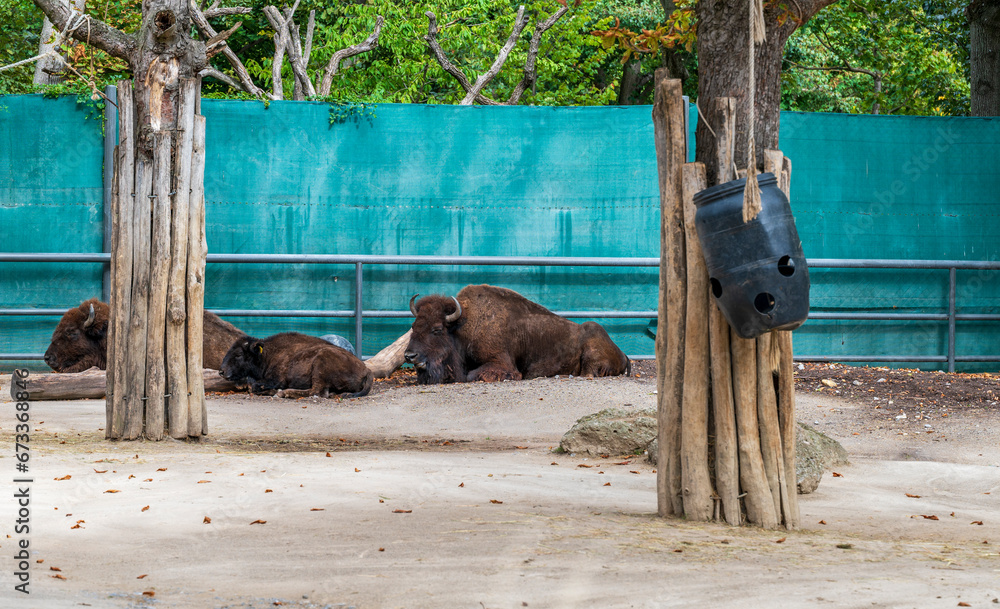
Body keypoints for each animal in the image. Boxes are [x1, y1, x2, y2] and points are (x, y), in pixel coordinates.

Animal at [219, 332, 373, 398]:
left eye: (239, 354)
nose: (221, 371)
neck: (267, 355)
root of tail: (366, 370)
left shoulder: (275, 379)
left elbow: (255, 387)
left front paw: (276, 391)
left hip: (320, 364)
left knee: (317, 392)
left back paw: (284, 393)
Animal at [404, 284, 631, 384]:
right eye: (414, 326)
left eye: (437, 329)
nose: (409, 356)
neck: (464, 326)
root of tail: (624, 354)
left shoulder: (503, 364)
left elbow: (471, 375)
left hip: (592, 354)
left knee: (589, 373)